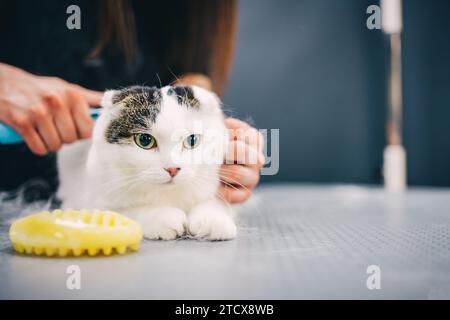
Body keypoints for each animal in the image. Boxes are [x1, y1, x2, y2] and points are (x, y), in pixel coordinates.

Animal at [57, 85, 236, 240]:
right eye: (144, 140)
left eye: (192, 140)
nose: (172, 169)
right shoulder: (95, 200)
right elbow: (126, 212)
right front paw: (163, 216)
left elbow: (212, 202)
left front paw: (212, 219)